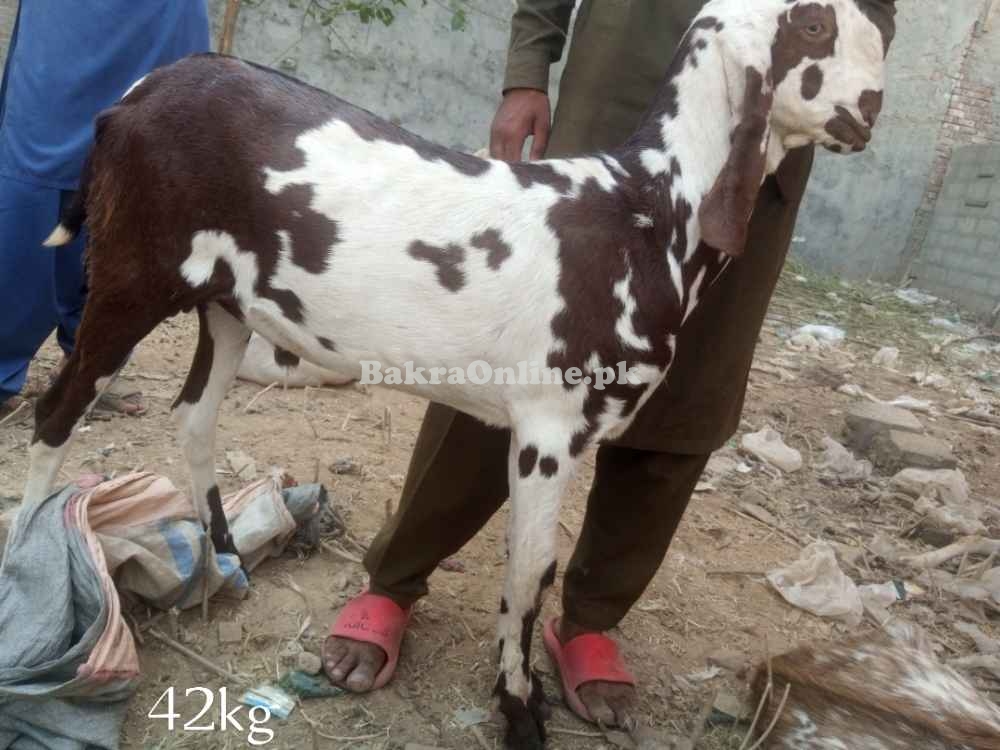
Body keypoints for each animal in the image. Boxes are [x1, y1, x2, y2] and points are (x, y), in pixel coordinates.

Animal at [27, 2, 896, 748]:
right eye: (812, 25)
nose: (872, 108)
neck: (645, 211)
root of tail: (138, 94)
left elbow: (530, 570)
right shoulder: (548, 428)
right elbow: (529, 571)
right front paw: (520, 712)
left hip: (226, 303)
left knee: (194, 418)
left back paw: (222, 559)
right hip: (131, 276)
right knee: (57, 413)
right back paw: (36, 565)